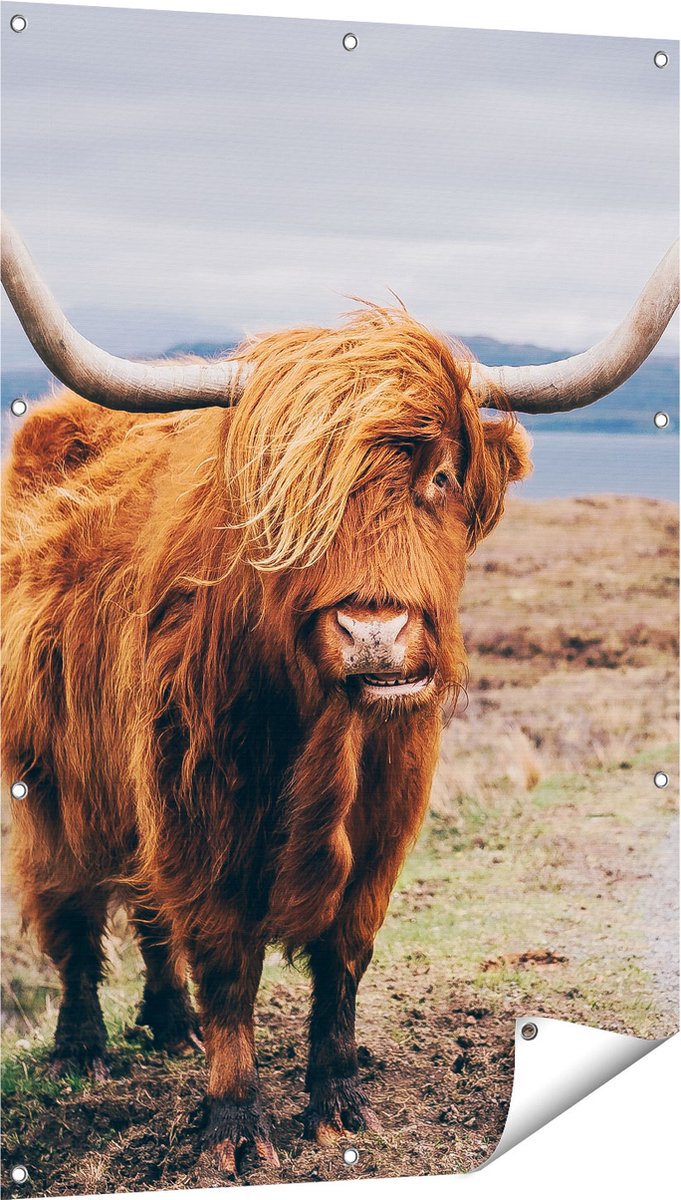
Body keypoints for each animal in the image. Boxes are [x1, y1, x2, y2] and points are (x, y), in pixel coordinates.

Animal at [1, 213, 678, 1175]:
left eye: (440, 475)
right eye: (290, 497)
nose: (373, 633)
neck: (326, 733)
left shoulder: (386, 818)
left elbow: (343, 958)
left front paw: (339, 1104)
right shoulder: (198, 809)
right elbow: (226, 961)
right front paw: (234, 1126)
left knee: (146, 913)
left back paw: (168, 1026)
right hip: (48, 776)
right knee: (72, 906)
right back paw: (84, 1048)